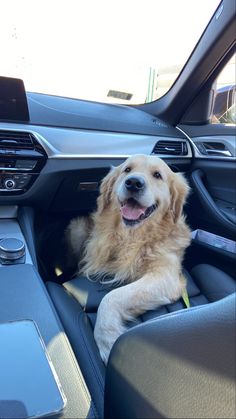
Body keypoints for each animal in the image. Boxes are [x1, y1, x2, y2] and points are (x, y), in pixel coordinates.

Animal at [66, 154, 192, 364]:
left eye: (157, 175)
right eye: (127, 170)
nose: (133, 183)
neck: (133, 236)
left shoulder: (166, 276)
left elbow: (110, 297)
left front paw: (107, 342)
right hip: (77, 227)